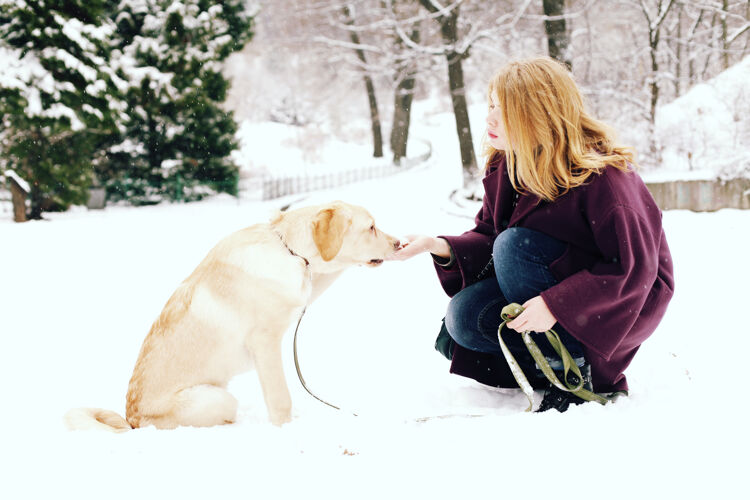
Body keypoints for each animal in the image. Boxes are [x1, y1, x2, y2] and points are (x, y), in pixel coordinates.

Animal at [67, 201, 402, 432]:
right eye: (371, 227)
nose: (399, 243)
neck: (287, 248)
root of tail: (132, 421)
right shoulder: (265, 344)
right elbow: (281, 397)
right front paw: (286, 429)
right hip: (217, 398)